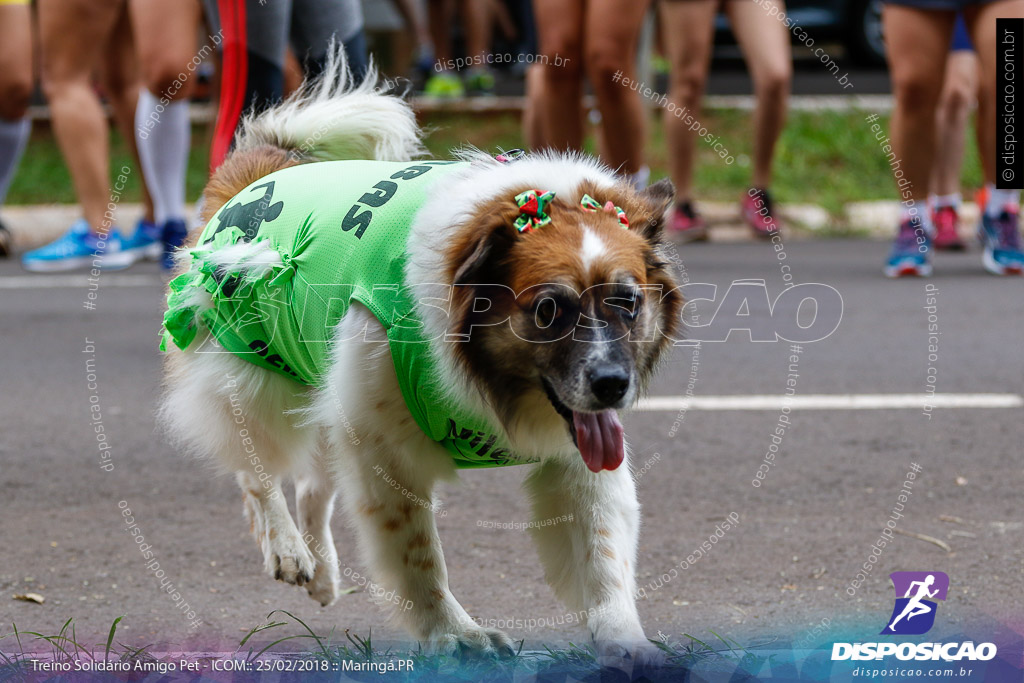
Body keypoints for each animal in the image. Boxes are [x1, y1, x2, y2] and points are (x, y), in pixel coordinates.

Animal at [159, 53, 679, 663]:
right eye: (549, 309)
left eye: (628, 302)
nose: (613, 385)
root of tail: (262, 170)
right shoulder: (381, 447)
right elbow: (419, 558)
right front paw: (455, 635)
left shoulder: (580, 454)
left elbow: (603, 556)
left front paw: (626, 642)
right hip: (256, 375)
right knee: (254, 466)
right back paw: (286, 547)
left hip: (328, 390)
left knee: (311, 485)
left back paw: (323, 573)